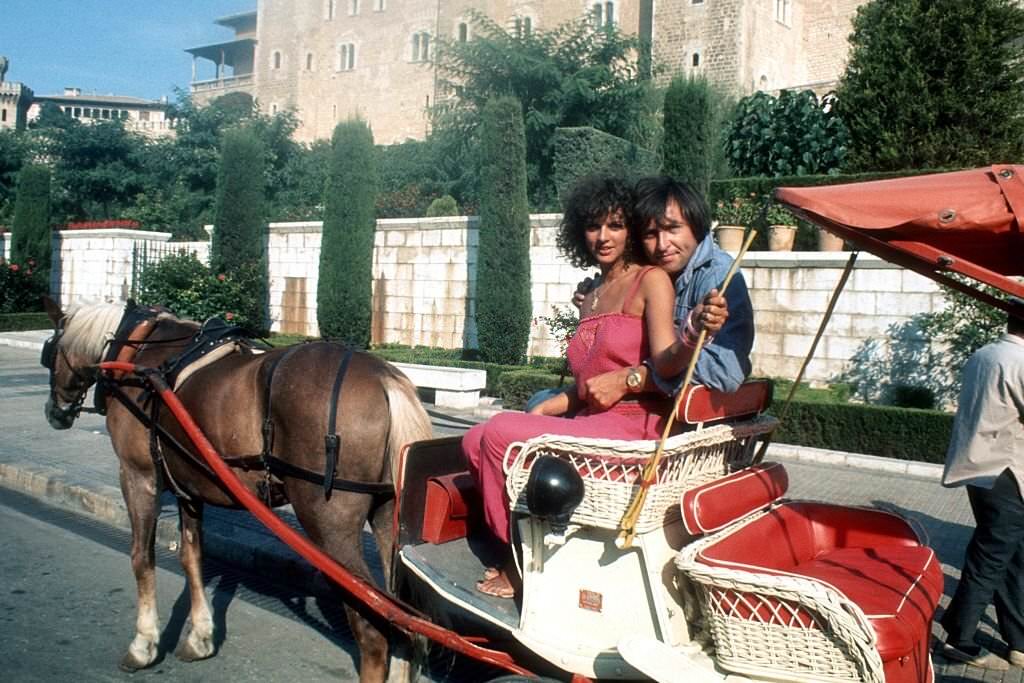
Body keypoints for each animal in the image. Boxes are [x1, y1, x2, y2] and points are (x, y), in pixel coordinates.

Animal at [38, 299, 432, 683]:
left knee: (373, 632)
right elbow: (192, 557)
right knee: (406, 627)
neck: (137, 352)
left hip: (328, 524)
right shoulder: (189, 489)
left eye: (50, 351)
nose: (54, 412)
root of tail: (385, 379)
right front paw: (199, 637)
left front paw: (143, 644)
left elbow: (141, 557)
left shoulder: (139, 476)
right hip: (388, 519)